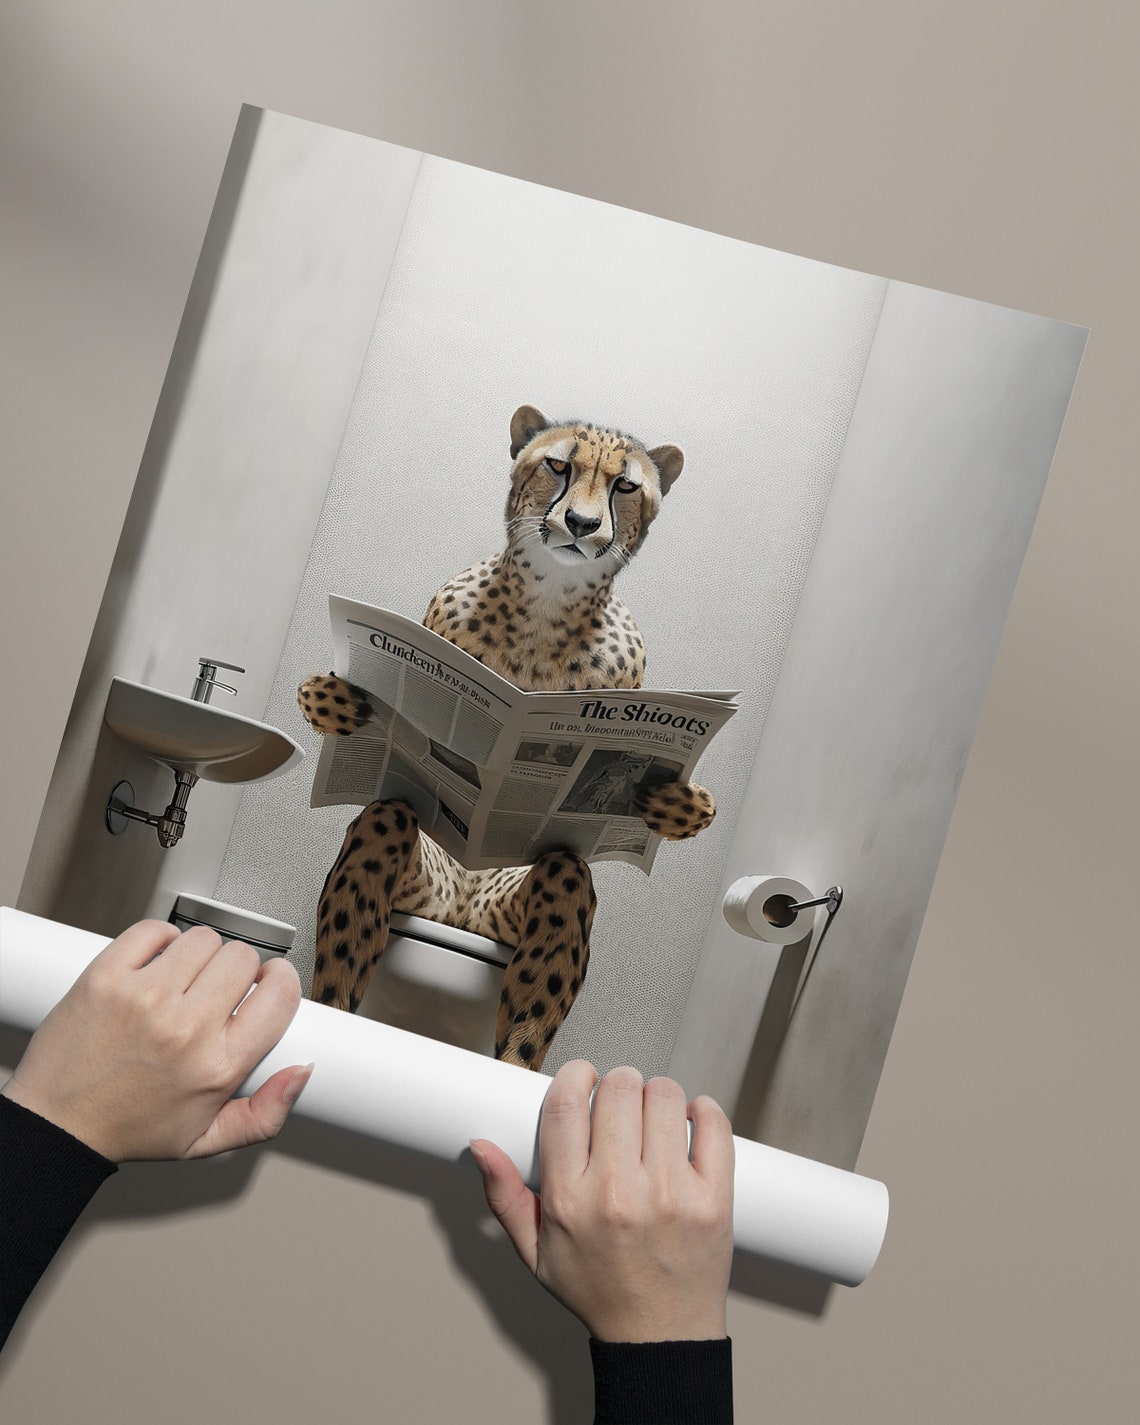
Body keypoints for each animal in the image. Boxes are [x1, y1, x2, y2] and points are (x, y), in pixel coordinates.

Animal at [297, 404, 716, 1071]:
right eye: (558, 466)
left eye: (626, 486)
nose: (581, 524)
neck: (549, 603)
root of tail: (463, 912)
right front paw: (338, 702)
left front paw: (677, 803)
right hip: (415, 889)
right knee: (385, 818)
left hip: (524, 904)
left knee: (565, 873)